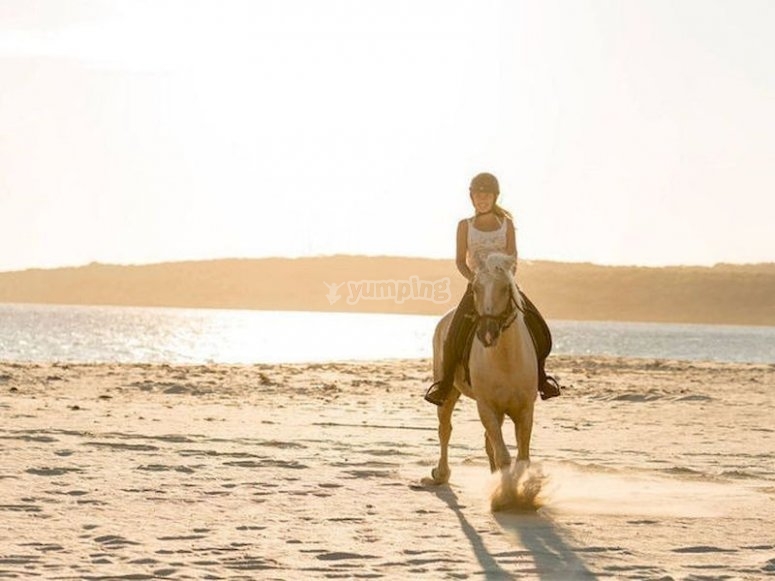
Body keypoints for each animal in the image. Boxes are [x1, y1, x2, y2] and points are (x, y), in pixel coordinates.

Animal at [428, 254, 536, 484]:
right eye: (476, 288)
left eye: (505, 287)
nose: (487, 333)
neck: (505, 360)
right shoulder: (486, 407)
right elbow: (503, 456)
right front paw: (507, 490)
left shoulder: (524, 409)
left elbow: (522, 458)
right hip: (449, 391)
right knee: (445, 429)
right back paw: (441, 473)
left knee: (487, 442)